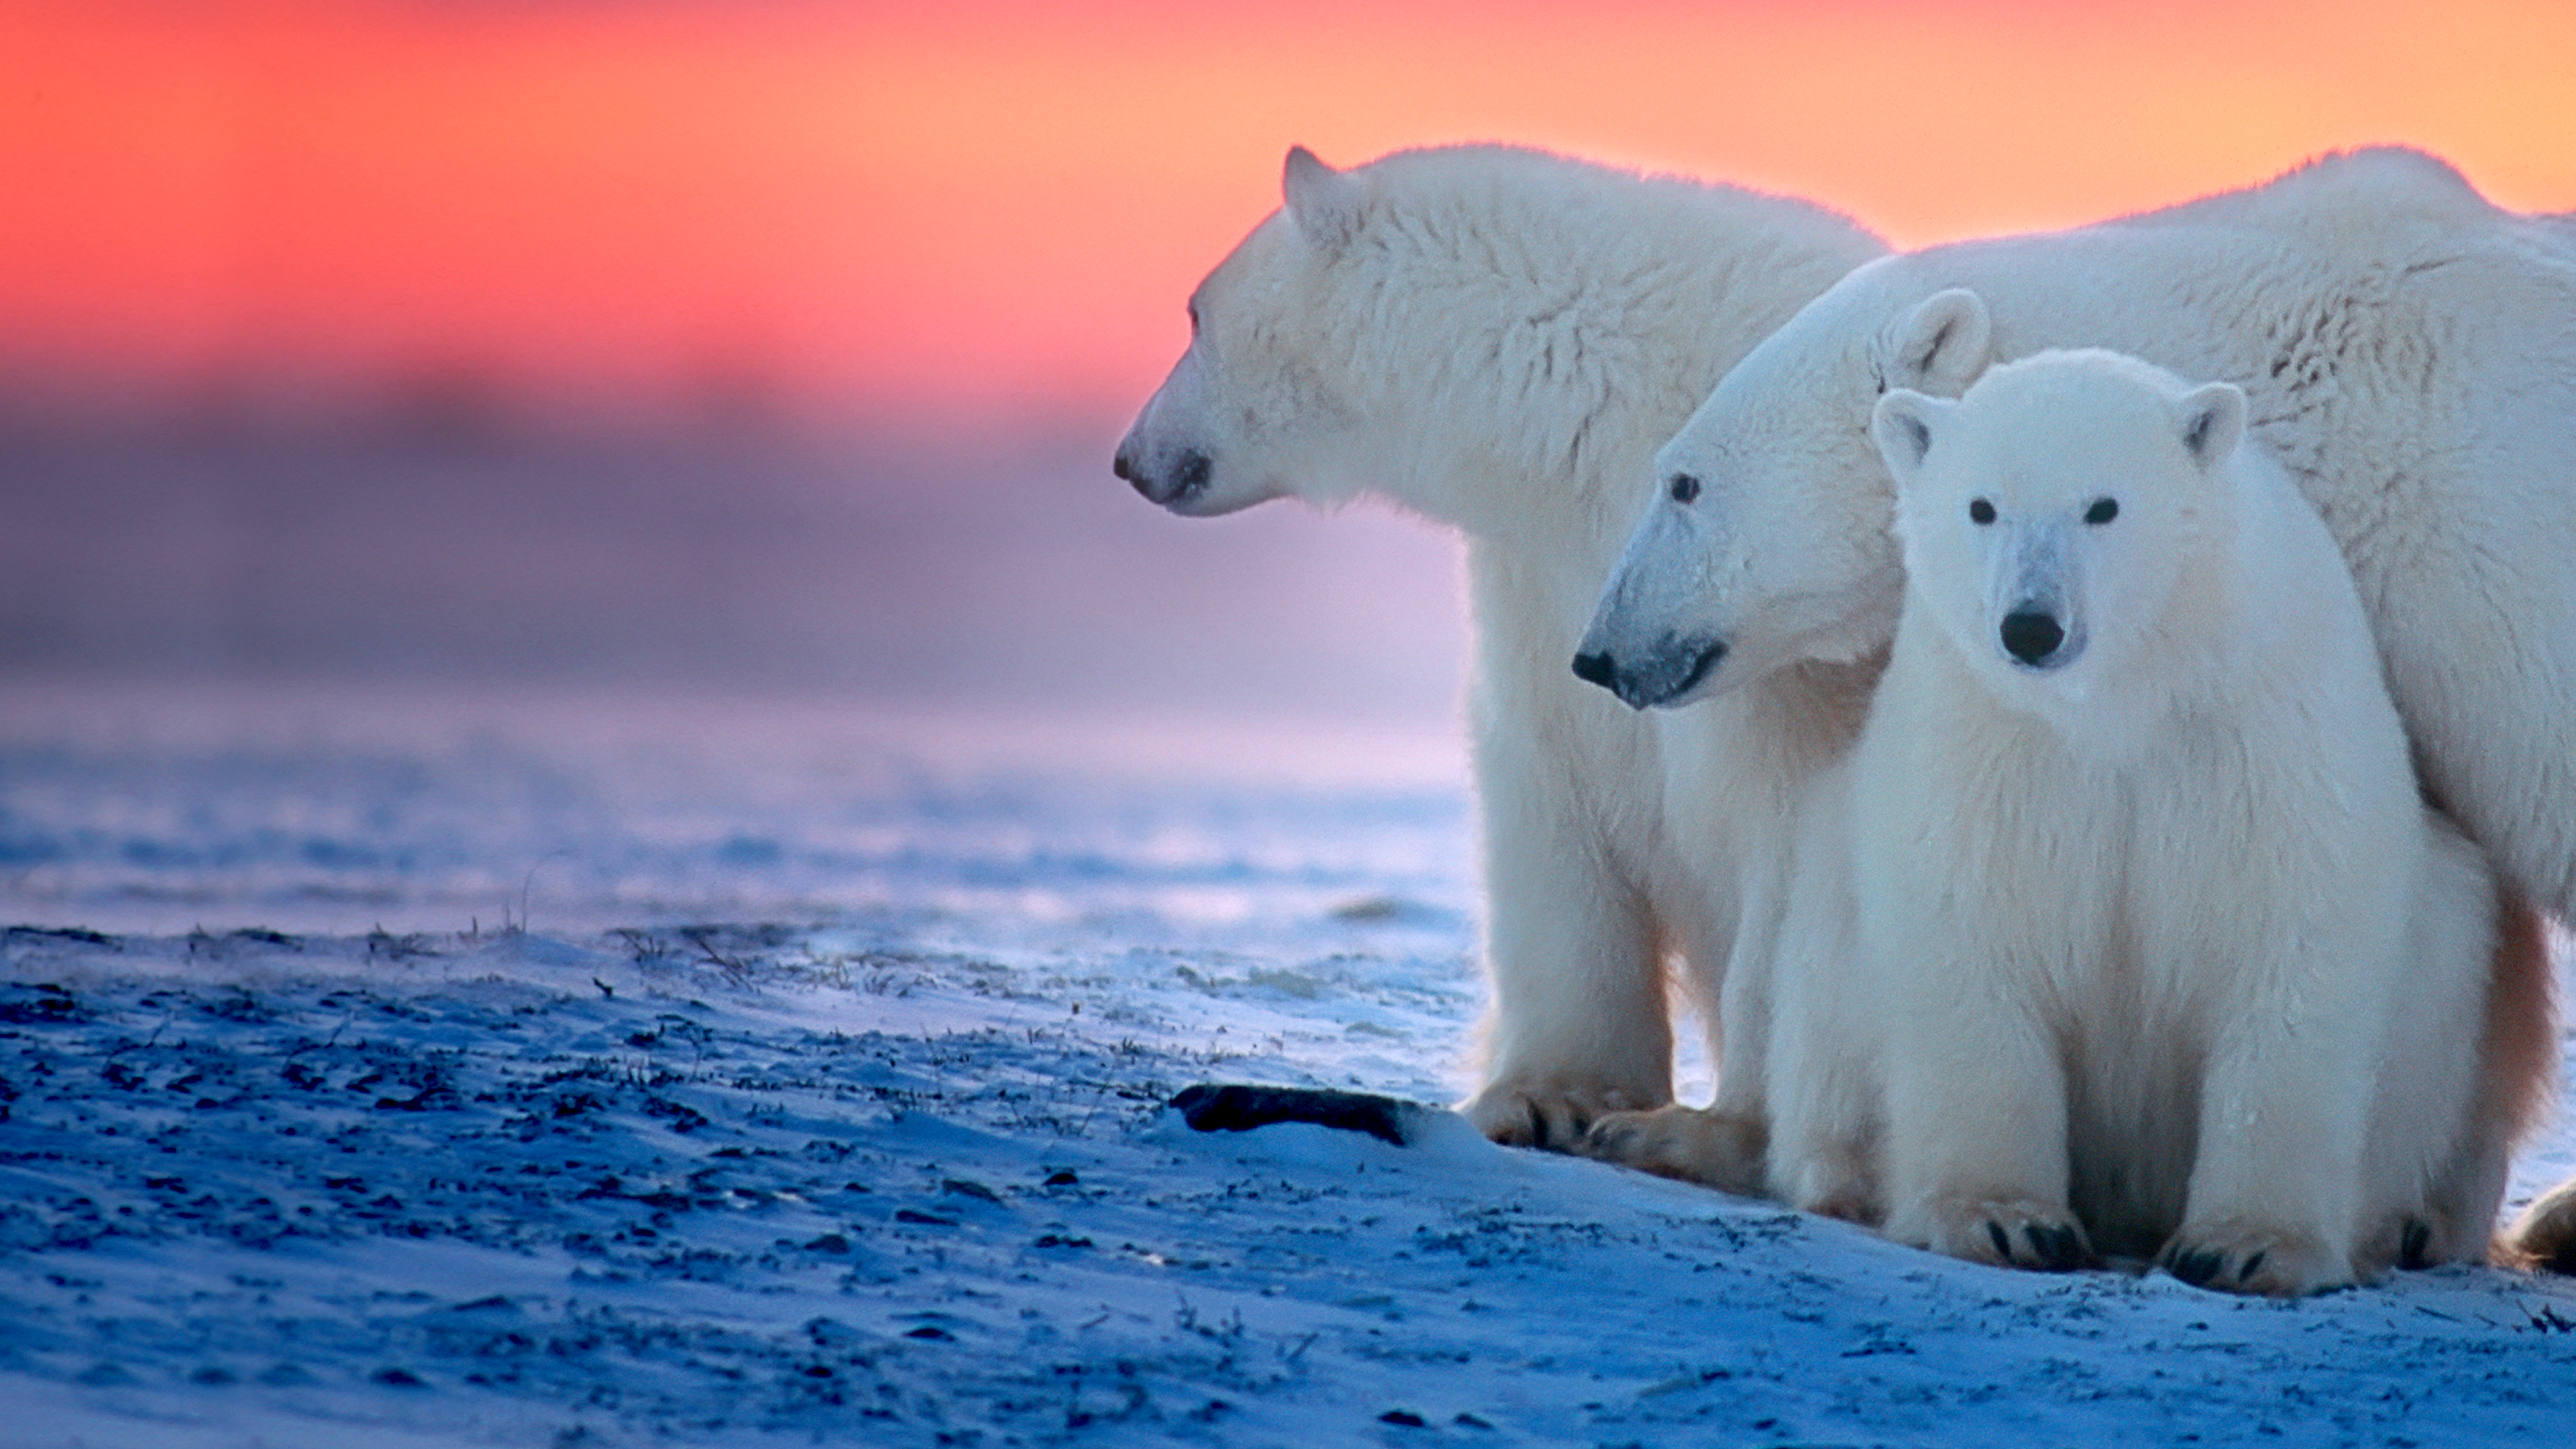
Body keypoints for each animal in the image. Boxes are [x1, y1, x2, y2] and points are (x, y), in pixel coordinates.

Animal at [1108, 141, 1875, 1144]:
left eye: (1194, 314)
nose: (1128, 458)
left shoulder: (1773, 615)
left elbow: (1788, 831)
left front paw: (1699, 1132)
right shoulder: (1547, 579)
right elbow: (1552, 790)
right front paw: (1552, 1095)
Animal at [1854, 347, 2534, 1284]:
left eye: (2103, 506)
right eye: (1982, 506)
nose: (2031, 627)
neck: (2128, 699)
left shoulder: (2262, 736)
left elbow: (2291, 949)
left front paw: (2245, 1246)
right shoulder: (1987, 745)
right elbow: (1973, 932)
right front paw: (2005, 1221)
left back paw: (2405, 1226)